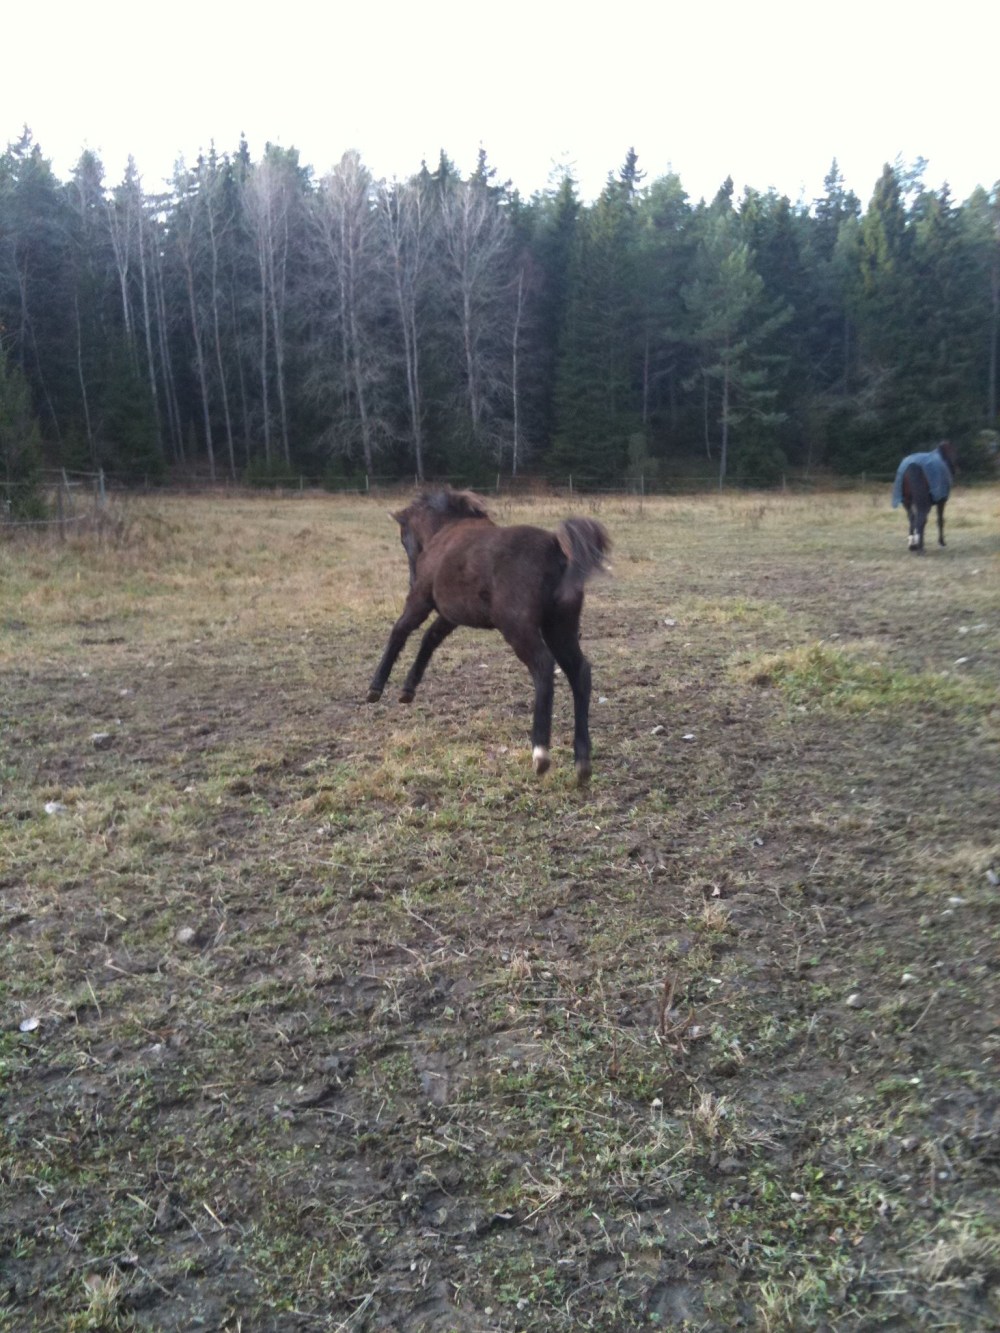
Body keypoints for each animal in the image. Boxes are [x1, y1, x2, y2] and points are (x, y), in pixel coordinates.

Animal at [366, 488, 611, 784]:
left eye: (404, 538)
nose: (411, 579)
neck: (446, 531)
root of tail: (555, 546)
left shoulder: (421, 601)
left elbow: (400, 631)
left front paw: (376, 687)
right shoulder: (451, 615)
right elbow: (430, 639)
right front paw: (407, 689)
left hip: (519, 628)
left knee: (543, 667)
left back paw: (540, 751)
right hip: (560, 628)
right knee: (580, 672)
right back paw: (582, 759)